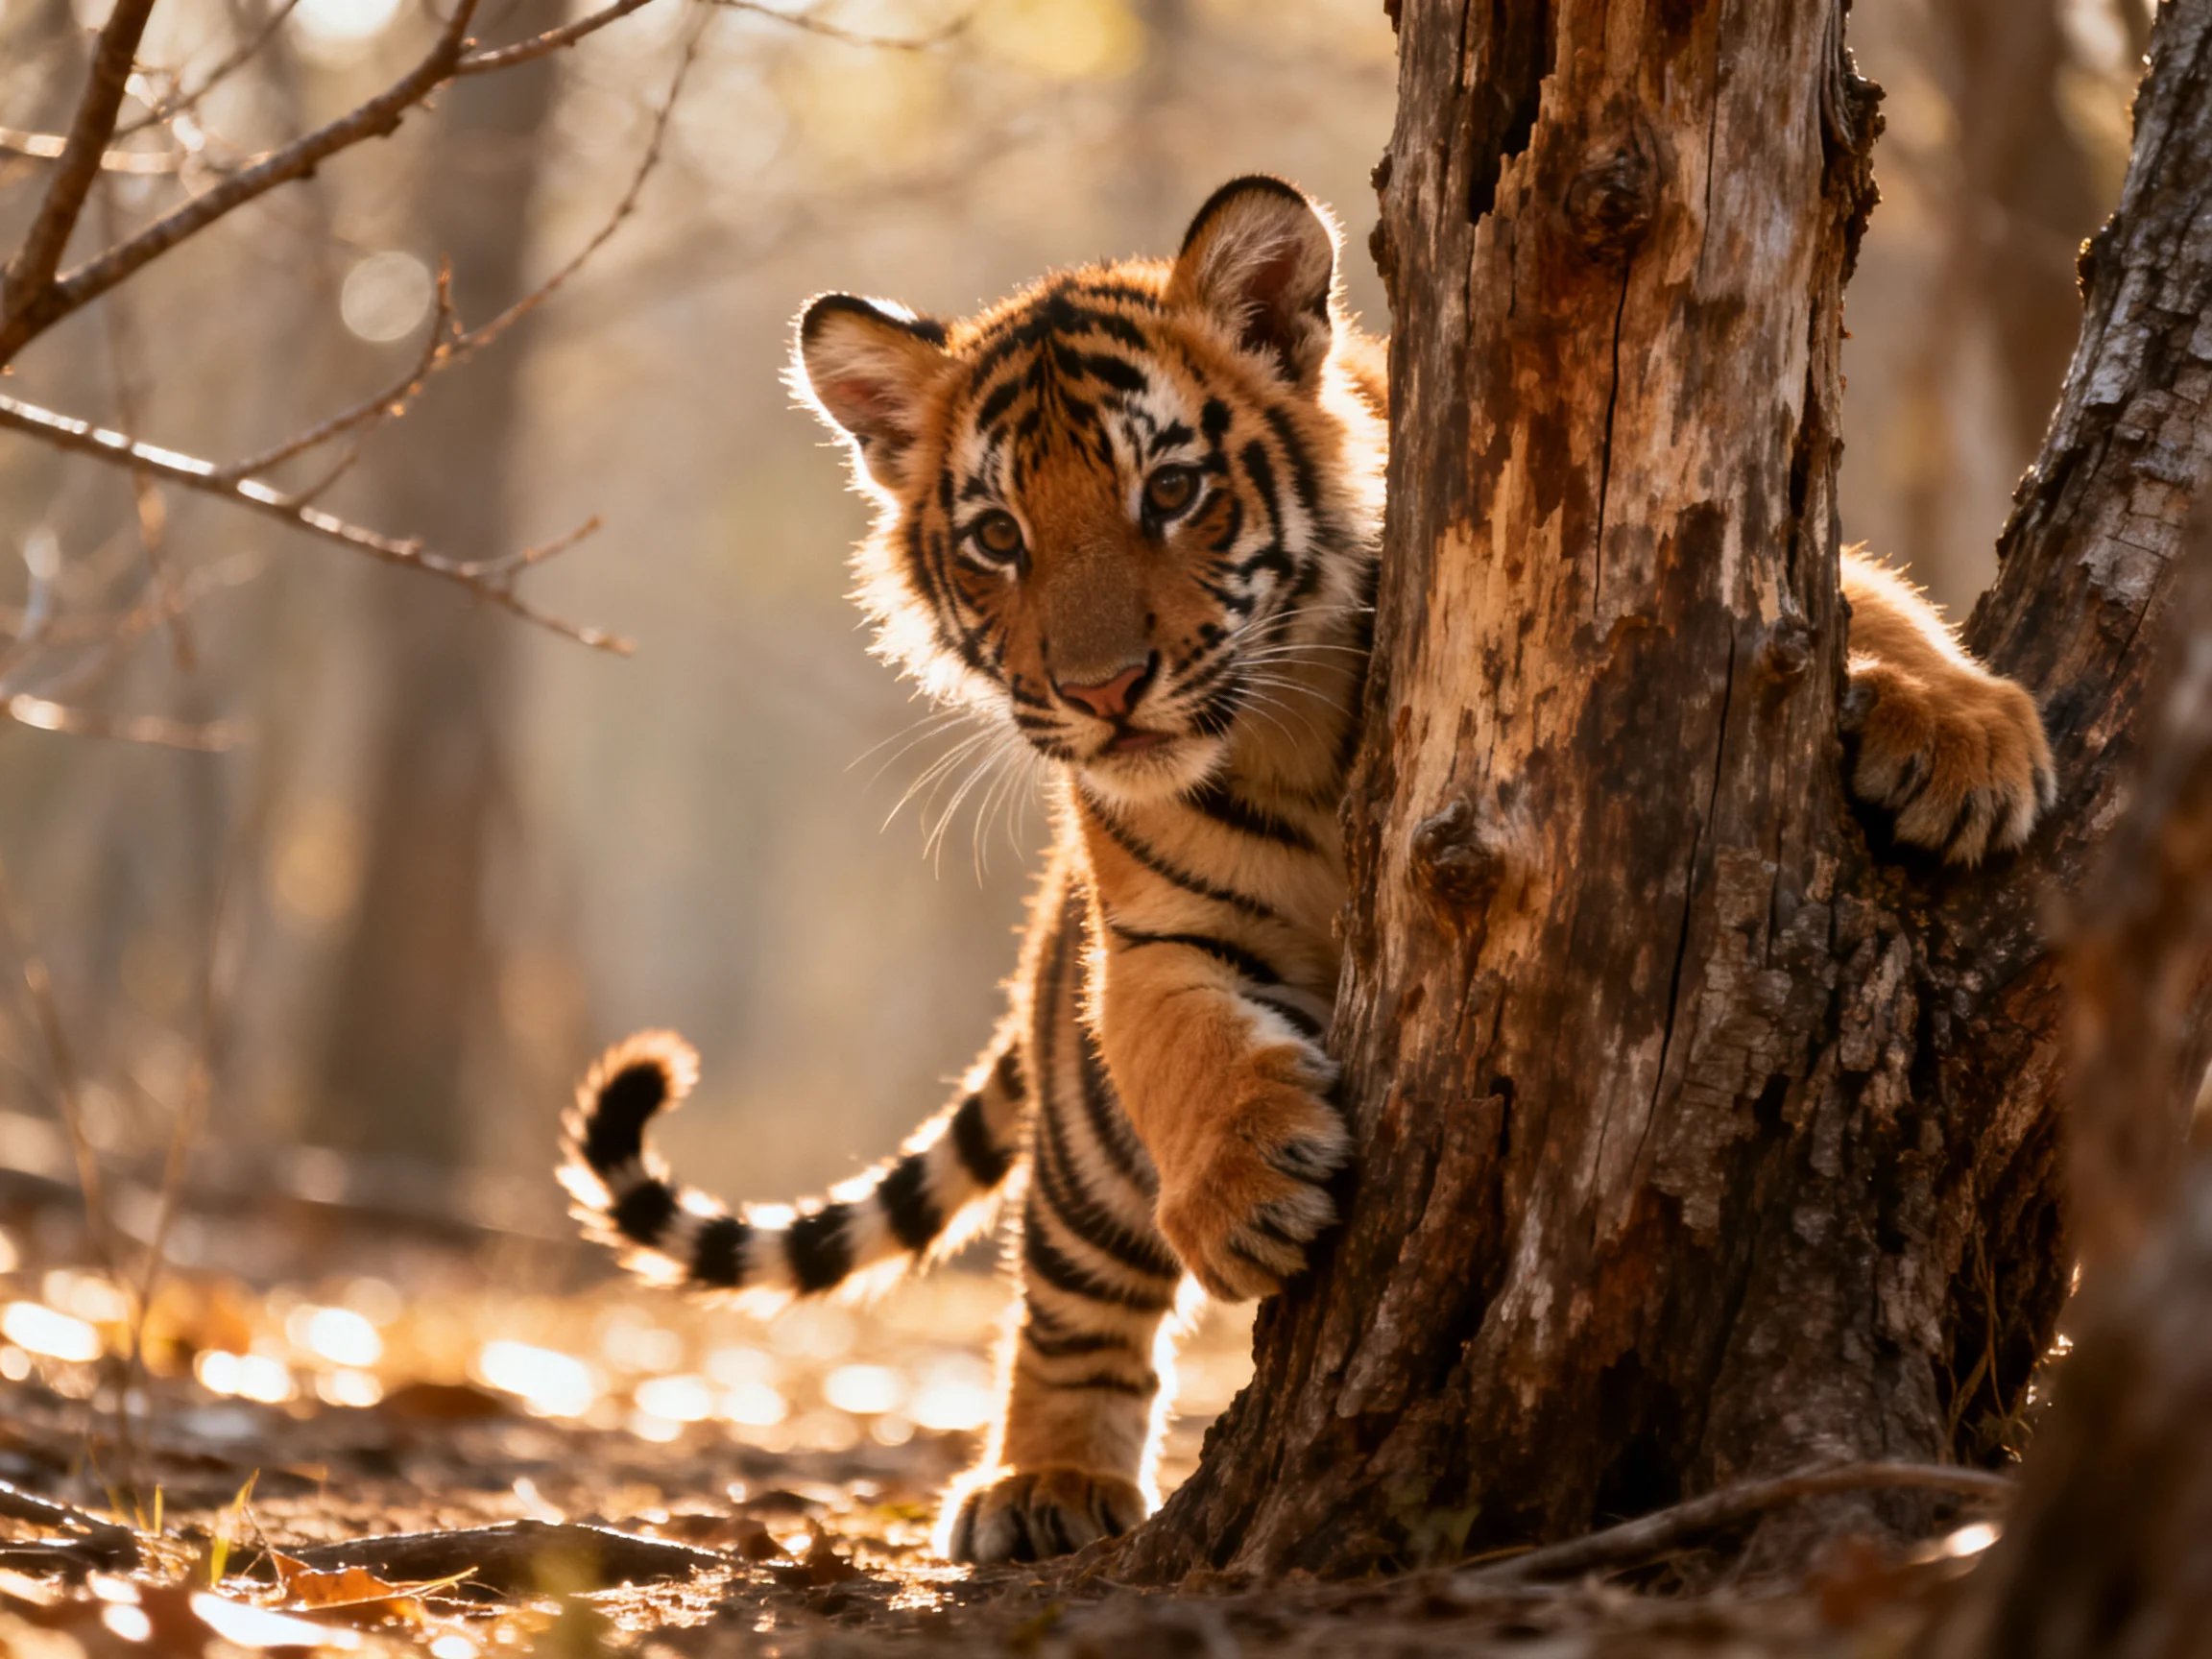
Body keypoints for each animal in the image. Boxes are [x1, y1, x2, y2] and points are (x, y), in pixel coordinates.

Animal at [560, 176, 2056, 1564]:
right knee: (1067, 1282)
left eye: (1171, 491)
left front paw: (1967, 743)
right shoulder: (1154, 945)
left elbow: (1865, 604)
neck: (1281, 730)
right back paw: (1044, 1483)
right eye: (997, 539)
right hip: (1084, 1128)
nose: (1100, 692)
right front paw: (1246, 1188)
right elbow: (1187, 1052)